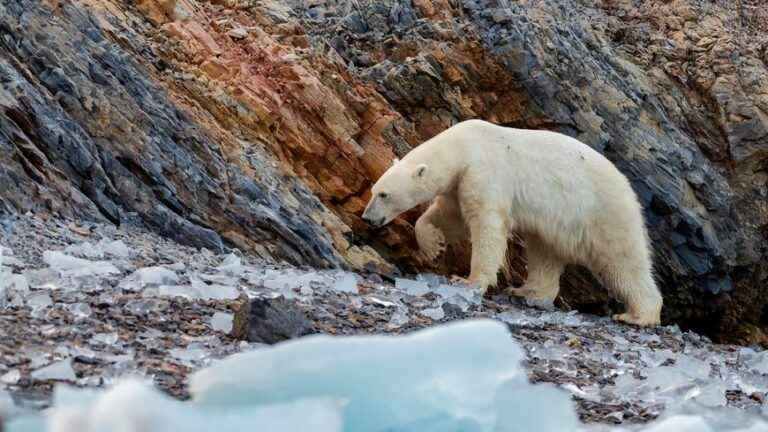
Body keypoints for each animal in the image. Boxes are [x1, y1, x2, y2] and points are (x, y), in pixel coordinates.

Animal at [364, 120, 664, 326]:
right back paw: (527, 291)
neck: (466, 145)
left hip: (602, 211)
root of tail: (626, 185)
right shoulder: (459, 183)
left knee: (622, 260)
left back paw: (638, 315)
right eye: (373, 190)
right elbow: (449, 216)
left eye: (384, 194)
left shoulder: (484, 172)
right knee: (544, 252)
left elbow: (486, 225)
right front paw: (432, 245)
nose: (367, 218)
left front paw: (468, 280)